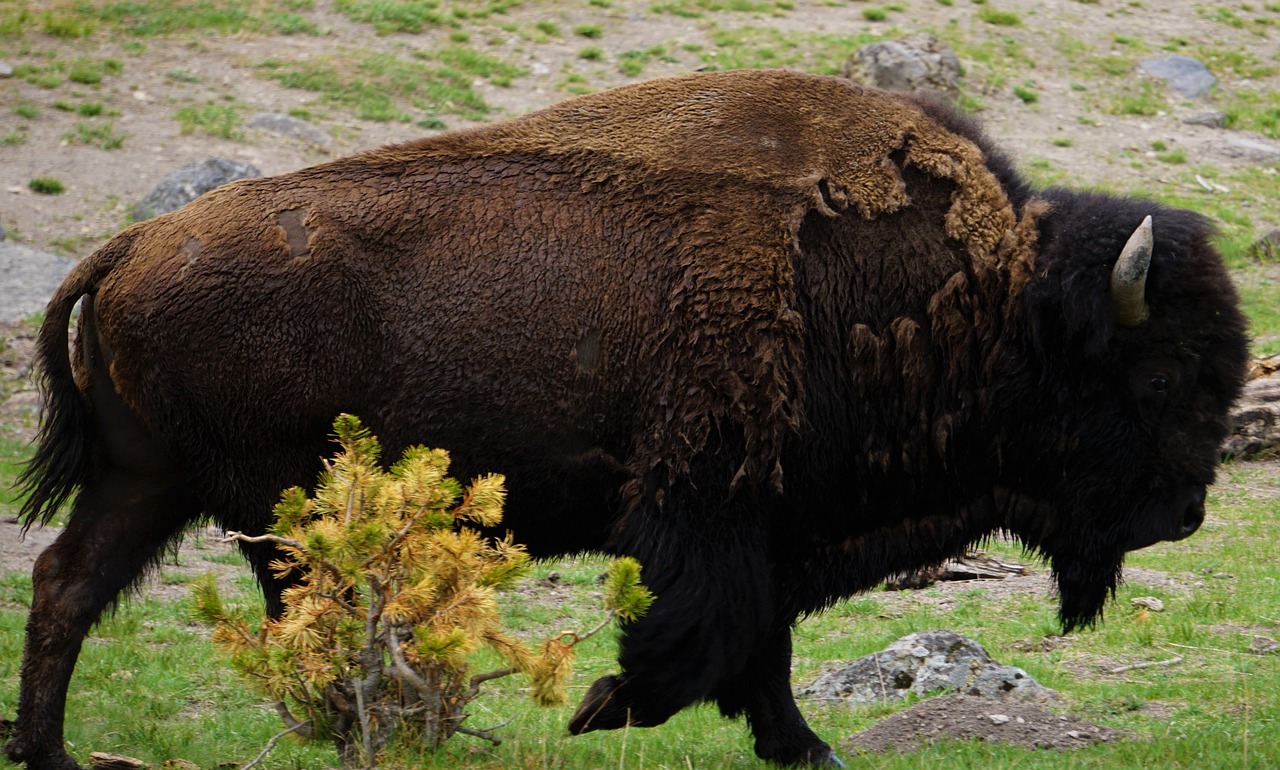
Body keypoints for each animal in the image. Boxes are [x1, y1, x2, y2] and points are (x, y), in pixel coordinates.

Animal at [5, 69, 1244, 762]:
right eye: (1153, 378)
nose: (1184, 513)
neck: (992, 302)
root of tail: (130, 243)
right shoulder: (705, 508)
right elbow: (703, 639)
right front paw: (599, 706)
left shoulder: (767, 526)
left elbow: (759, 651)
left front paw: (804, 747)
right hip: (271, 506)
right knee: (286, 613)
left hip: (148, 481)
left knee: (66, 585)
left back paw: (51, 751)